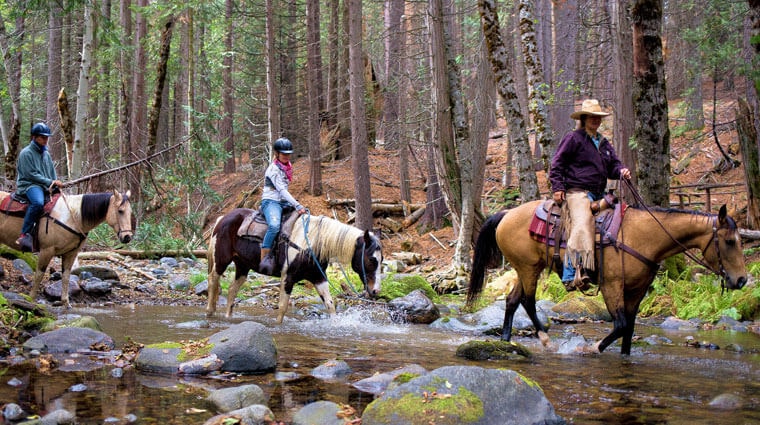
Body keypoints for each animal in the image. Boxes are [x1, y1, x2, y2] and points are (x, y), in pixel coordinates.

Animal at [205, 209, 382, 322]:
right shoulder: (288, 277)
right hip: (221, 260)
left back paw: (228, 317)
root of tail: (223, 218)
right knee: (213, 279)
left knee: (232, 289)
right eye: (371, 259)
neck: (311, 243)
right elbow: (283, 307)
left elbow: (330, 305)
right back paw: (209, 311)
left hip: (243, 266)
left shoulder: (319, 277)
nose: (375, 291)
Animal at [464, 200, 748, 354]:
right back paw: (544, 339)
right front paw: (589, 348)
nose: (742, 280)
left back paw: (506, 340)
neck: (642, 237)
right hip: (528, 268)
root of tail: (506, 214)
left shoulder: (636, 290)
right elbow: (620, 325)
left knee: (513, 300)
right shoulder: (612, 286)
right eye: (730, 241)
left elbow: (629, 328)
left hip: (526, 269)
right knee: (528, 301)